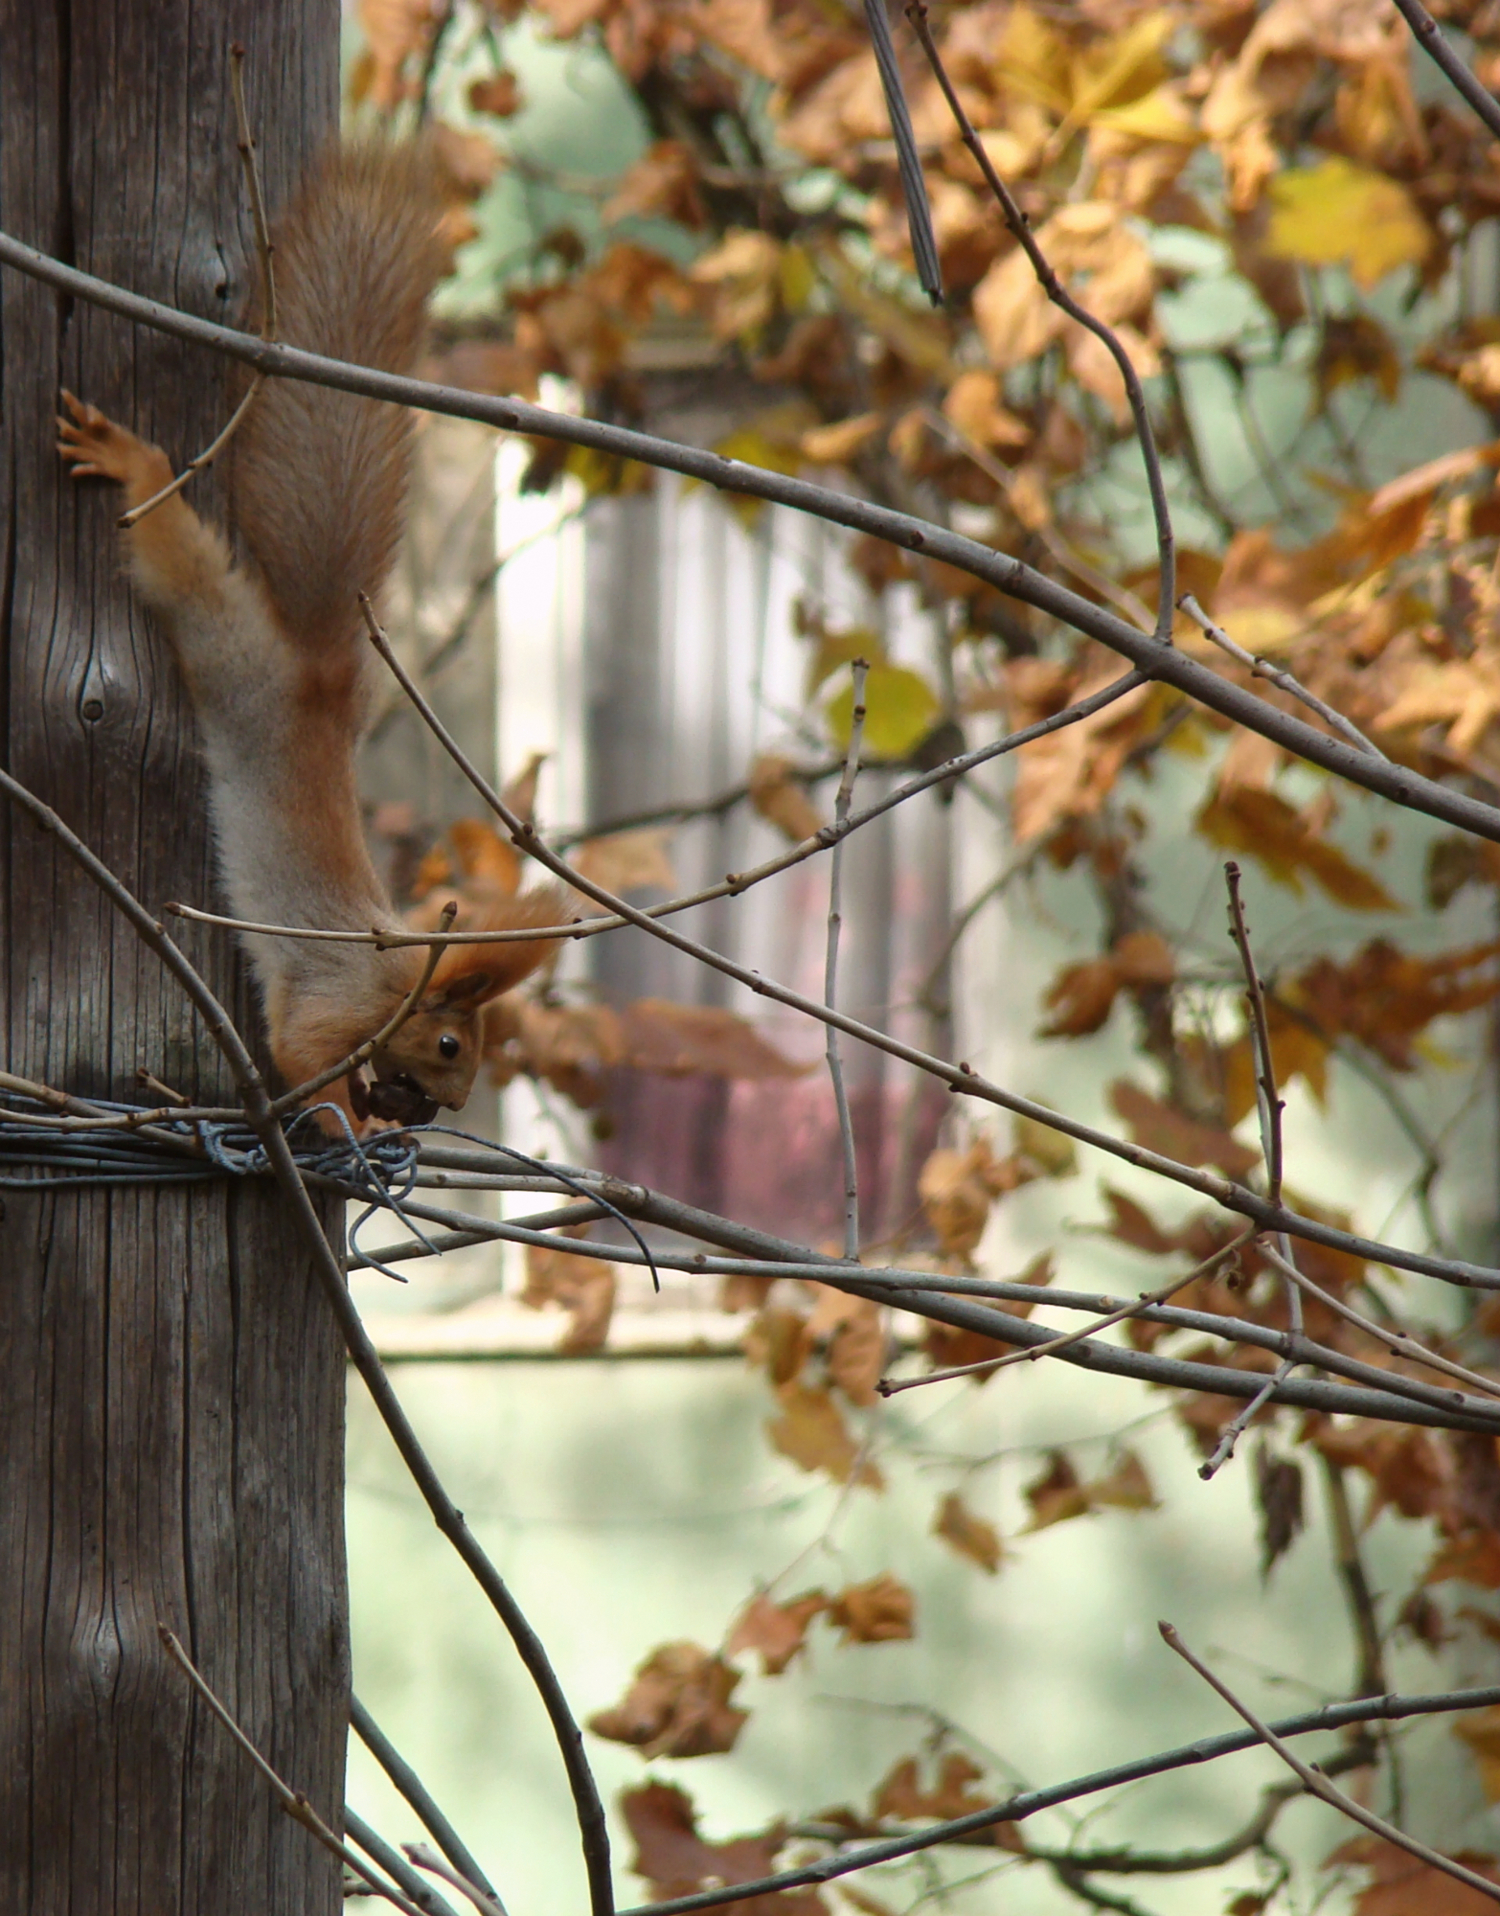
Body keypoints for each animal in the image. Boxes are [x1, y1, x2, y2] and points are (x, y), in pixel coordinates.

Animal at [57, 153, 563, 1134]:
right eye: (452, 1044)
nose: (436, 1114)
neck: (394, 978)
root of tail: (319, 679)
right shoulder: (335, 1001)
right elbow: (301, 1058)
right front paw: (348, 1122)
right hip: (228, 647)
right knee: (181, 563)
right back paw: (133, 463)